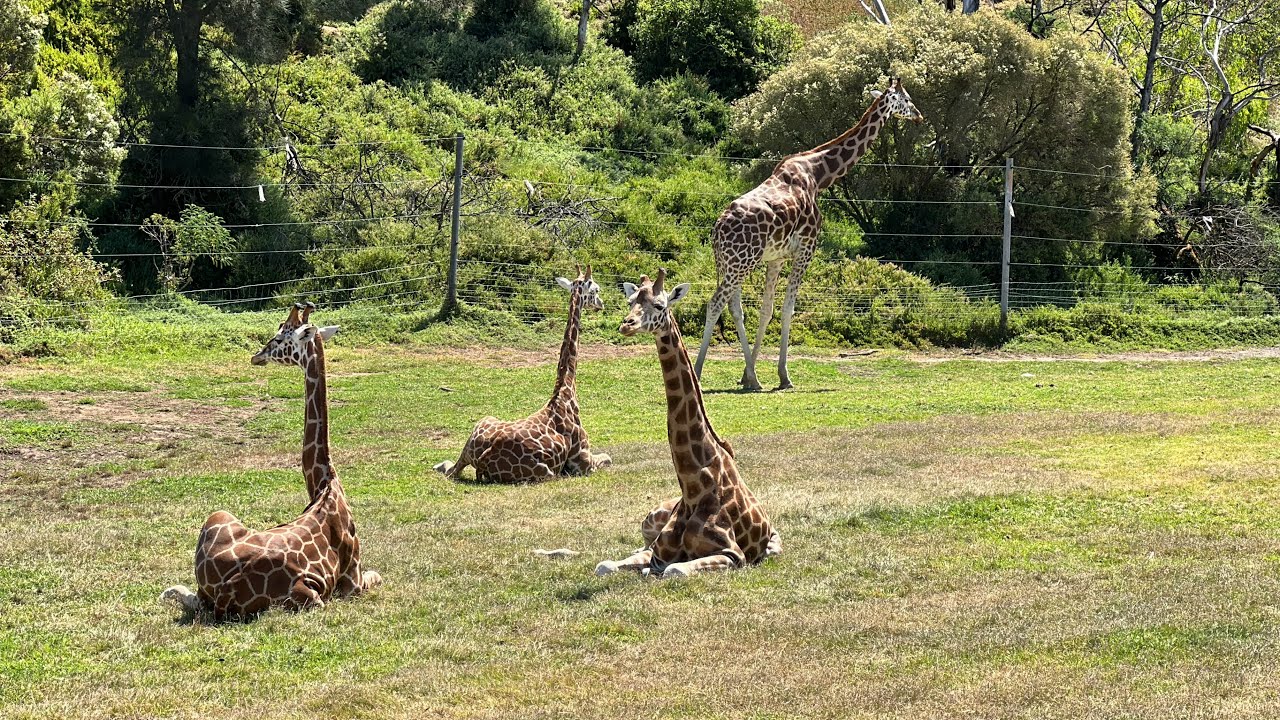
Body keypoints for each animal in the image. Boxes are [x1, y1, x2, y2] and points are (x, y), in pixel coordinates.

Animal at [160, 302, 381, 619]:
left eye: (278, 339)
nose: (257, 355)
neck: (325, 485)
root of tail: (227, 592)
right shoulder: (353, 581)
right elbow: (379, 574)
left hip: (216, 519)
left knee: (187, 597)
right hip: (312, 597)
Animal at [433, 266, 612, 483]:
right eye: (595, 290)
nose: (601, 305)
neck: (565, 389)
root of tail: (484, 458)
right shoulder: (584, 464)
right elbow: (608, 457)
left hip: (478, 430)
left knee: (450, 469)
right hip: (548, 474)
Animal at [596, 269, 780, 579]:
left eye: (660, 305)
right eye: (630, 301)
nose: (627, 325)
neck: (693, 487)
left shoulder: (733, 555)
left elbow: (675, 570)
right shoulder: (658, 552)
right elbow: (605, 565)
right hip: (650, 518)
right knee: (639, 544)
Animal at [693, 77, 924, 391]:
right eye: (907, 98)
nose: (919, 116)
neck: (819, 175)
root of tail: (717, 231)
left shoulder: (776, 257)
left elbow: (766, 310)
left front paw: (748, 374)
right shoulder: (806, 248)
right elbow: (788, 308)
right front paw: (784, 376)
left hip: (732, 264)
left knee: (734, 307)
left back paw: (752, 377)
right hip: (742, 262)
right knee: (715, 303)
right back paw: (698, 373)